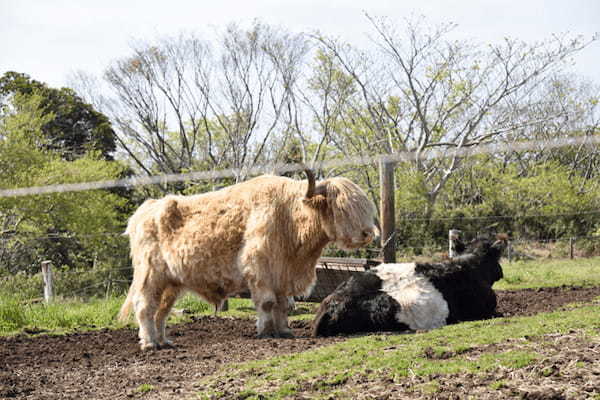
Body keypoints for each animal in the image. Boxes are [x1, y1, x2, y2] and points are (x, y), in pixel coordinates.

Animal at [119, 169, 378, 350]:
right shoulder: (260, 269)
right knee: (145, 307)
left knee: (161, 311)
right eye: (341, 207)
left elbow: (283, 304)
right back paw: (150, 343)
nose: (367, 233)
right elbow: (267, 303)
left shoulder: (283, 276)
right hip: (150, 276)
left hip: (171, 283)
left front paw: (284, 331)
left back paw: (164, 341)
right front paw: (265, 331)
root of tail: (145, 210)